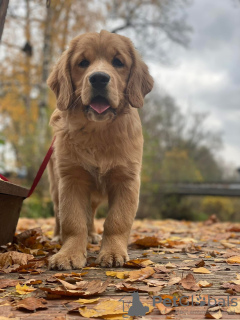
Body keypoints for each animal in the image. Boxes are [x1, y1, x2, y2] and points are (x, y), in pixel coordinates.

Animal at [47, 30, 154, 270]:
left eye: (118, 62)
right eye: (82, 63)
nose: (98, 78)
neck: (98, 133)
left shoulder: (126, 179)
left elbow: (117, 220)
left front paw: (113, 252)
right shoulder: (72, 179)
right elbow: (72, 221)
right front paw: (69, 254)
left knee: (91, 213)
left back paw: (92, 236)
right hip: (56, 185)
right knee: (59, 214)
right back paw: (58, 237)